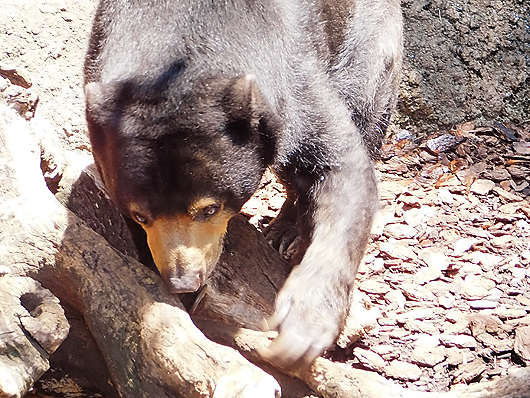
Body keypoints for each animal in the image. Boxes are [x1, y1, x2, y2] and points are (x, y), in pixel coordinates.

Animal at [84, 0, 402, 366]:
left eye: (208, 209)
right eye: (141, 215)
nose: (183, 280)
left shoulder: (291, 79)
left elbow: (341, 167)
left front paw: (303, 327)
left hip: (366, 44)